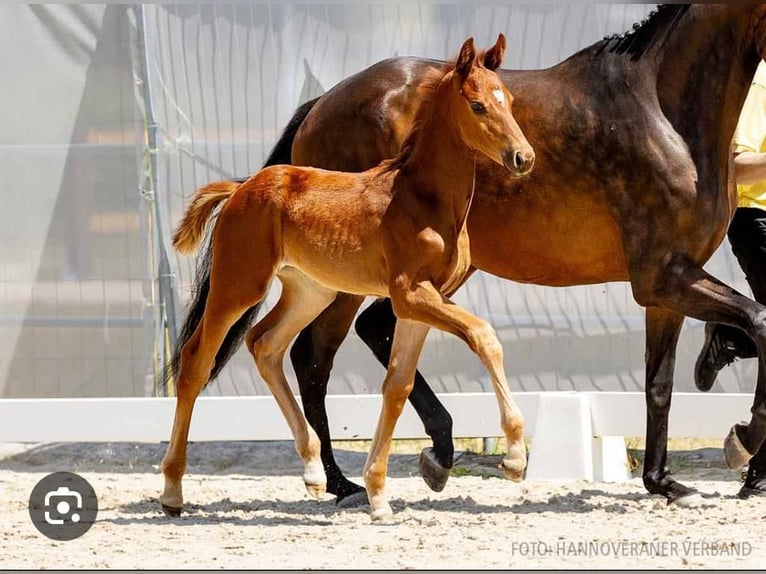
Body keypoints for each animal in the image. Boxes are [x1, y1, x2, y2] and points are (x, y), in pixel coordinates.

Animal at [162, 35, 536, 520]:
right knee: (195, 362)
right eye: (477, 105)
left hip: (311, 290)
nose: (523, 157)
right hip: (238, 284)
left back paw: (314, 472)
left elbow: (397, 386)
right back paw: (172, 492)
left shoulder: (421, 302)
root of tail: (240, 187)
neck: (421, 198)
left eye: (507, 99)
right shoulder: (409, 293)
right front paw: (514, 458)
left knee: (266, 344)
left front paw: (378, 495)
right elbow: (484, 335)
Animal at [216, 4, 766, 508]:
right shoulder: (661, 275)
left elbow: (660, 382)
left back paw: (429, 456)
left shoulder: (666, 285)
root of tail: (320, 104)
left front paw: (665, 481)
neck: (663, 113)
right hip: (347, 275)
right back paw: (340, 482)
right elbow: (759, 320)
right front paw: (742, 441)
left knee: (367, 334)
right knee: (315, 358)